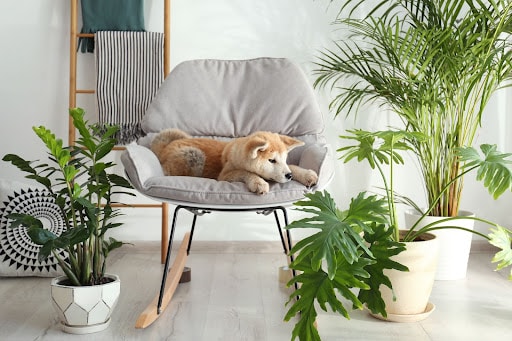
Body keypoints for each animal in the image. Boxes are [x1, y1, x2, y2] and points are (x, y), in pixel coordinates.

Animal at [150, 128, 318, 194]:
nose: (289, 176)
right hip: (194, 155)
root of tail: (164, 148)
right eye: (272, 160)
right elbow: (245, 172)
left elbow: (293, 166)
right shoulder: (225, 175)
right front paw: (258, 182)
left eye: (283, 159)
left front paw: (306, 175)